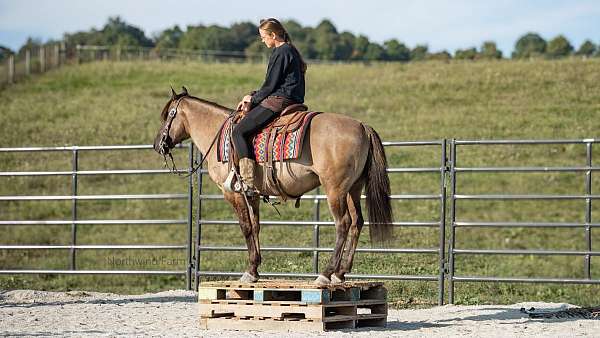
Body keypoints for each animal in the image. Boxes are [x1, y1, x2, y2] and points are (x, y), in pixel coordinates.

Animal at [152, 88, 392, 286]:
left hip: (335, 189)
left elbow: (246, 227)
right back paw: (340, 273)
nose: (157, 145)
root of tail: (362, 126)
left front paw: (249, 271)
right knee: (357, 222)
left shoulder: (232, 193)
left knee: (343, 224)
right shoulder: (252, 194)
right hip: (353, 189)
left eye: (168, 115)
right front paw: (254, 269)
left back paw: (326, 273)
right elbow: (256, 226)